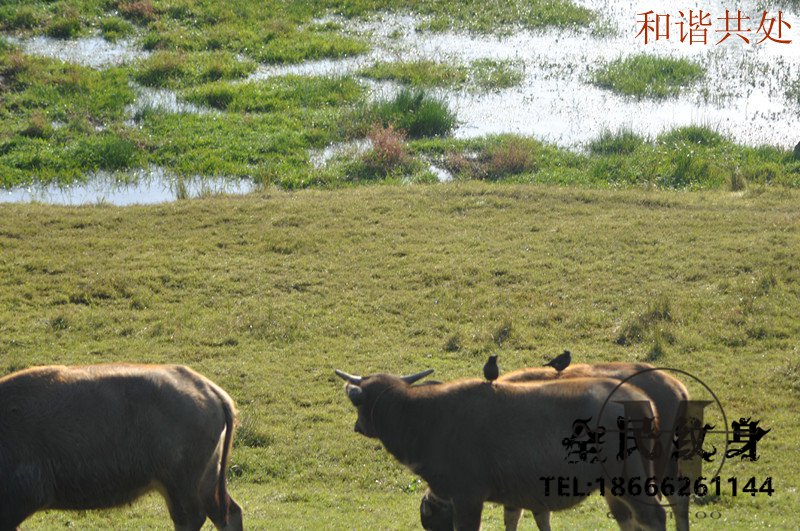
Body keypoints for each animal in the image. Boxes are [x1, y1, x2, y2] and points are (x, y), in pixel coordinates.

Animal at [334, 370, 664, 531]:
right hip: (613, 487)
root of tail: (641, 400)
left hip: (629, 480)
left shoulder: (467, 497)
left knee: (654, 517)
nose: (357, 426)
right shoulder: (514, 497)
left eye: (358, 403)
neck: (425, 417)